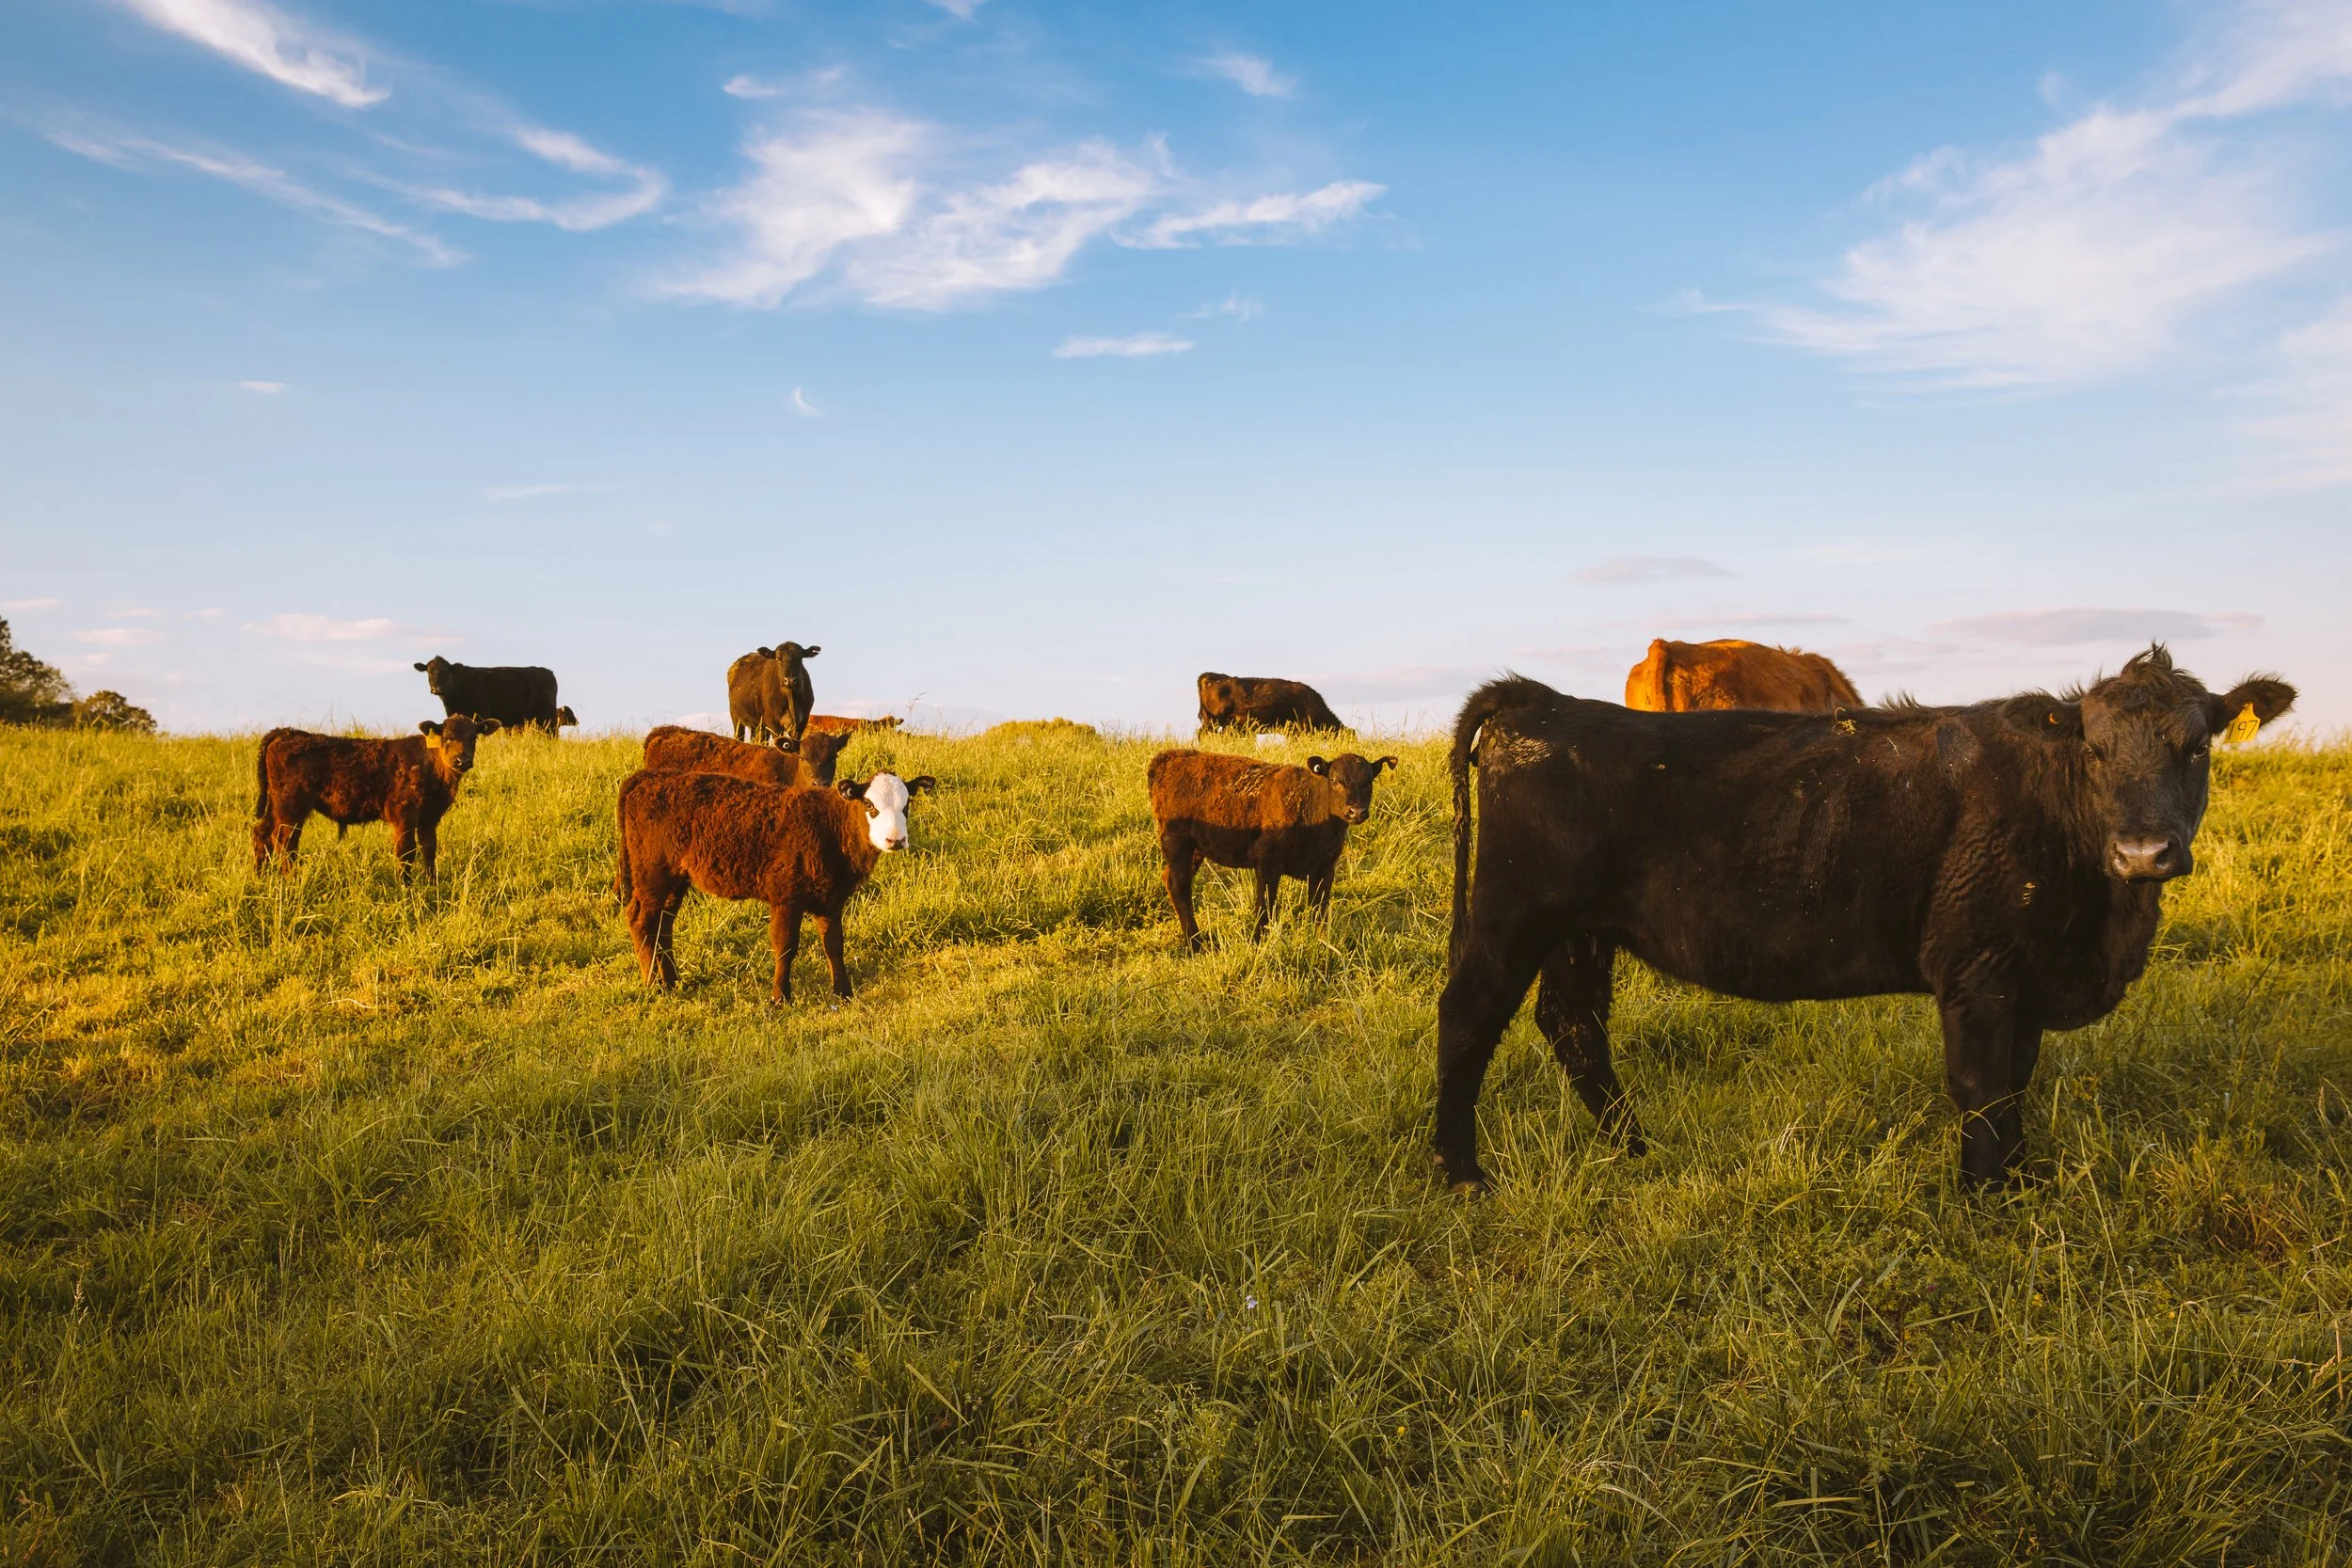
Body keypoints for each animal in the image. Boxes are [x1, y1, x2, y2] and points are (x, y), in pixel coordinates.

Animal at [252, 715, 501, 880]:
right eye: (446, 738)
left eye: (473, 738)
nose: (462, 760)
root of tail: (286, 732)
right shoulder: (403, 813)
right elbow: (406, 850)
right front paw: (405, 886)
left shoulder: (429, 817)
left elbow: (429, 849)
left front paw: (433, 883)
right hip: (291, 806)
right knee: (285, 841)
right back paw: (290, 879)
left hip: (276, 806)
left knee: (262, 833)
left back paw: (261, 877)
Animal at [413, 656, 563, 734]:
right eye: (430, 672)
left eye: (446, 672)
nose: (437, 689)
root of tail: (549, 672)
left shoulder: (481, 714)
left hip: (547, 718)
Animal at [614, 769, 936, 1003]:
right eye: (869, 805)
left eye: (906, 805)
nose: (896, 840)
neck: (828, 826)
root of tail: (644, 777)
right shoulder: (786, 896)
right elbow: (785, 946)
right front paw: (780, 997)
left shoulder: (830, 898)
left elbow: (834, 945)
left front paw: (844, 993)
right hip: (652, 872)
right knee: (641, 920)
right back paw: (652, 984)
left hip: (675, 878)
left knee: (663, 925)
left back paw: (672, 981)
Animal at [1148, 748, 1398, 946]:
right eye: (1335, 781)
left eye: (1369, 782)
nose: (1356, 812)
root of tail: (1167, 758)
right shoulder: (1267, 862)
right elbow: (1265, 906)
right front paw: (1256, 941)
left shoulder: (1325, 867)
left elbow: (1319, 909)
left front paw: (1322, 943)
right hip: (1177, 843)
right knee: (1178, 884)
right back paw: (1195, 942)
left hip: (1195, 850)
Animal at [1433, 647, 2295, 1194]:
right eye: (2095, 748)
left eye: (2197, 746)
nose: (2145, 851)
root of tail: (1544, 701)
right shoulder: (1975, 969)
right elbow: (1982, 1087)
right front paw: (1989, 1203)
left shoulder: (2023, 976)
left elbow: (2015, 1084)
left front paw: (2022, 1185)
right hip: (1513, 915)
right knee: (1467, 1017)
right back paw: (1462, 1173)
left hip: (1579, 932)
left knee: (1573, 1026)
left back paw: (1636, 1149)